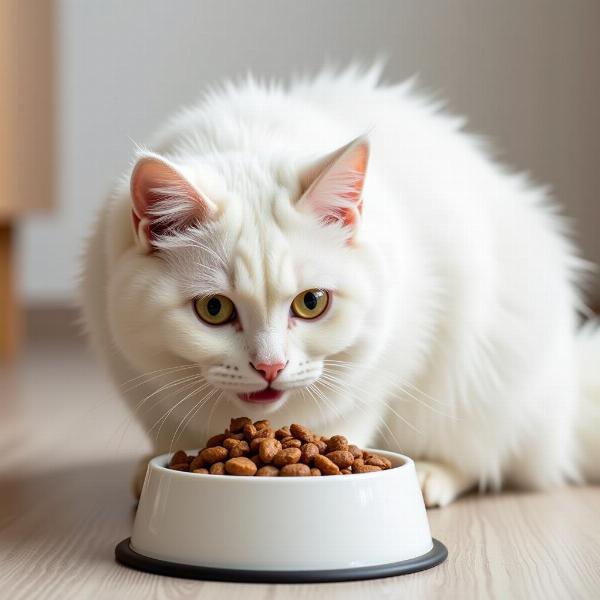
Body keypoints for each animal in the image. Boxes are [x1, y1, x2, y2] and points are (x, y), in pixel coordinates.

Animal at [79, 64, 600, 506]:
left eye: (312, 303)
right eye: (213, 309)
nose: (270, 367)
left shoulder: (385, 364)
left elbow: (352, 418)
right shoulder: (138, 378)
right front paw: (153, 472)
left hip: (486, 379)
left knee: (485, 459)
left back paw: (430, 476)